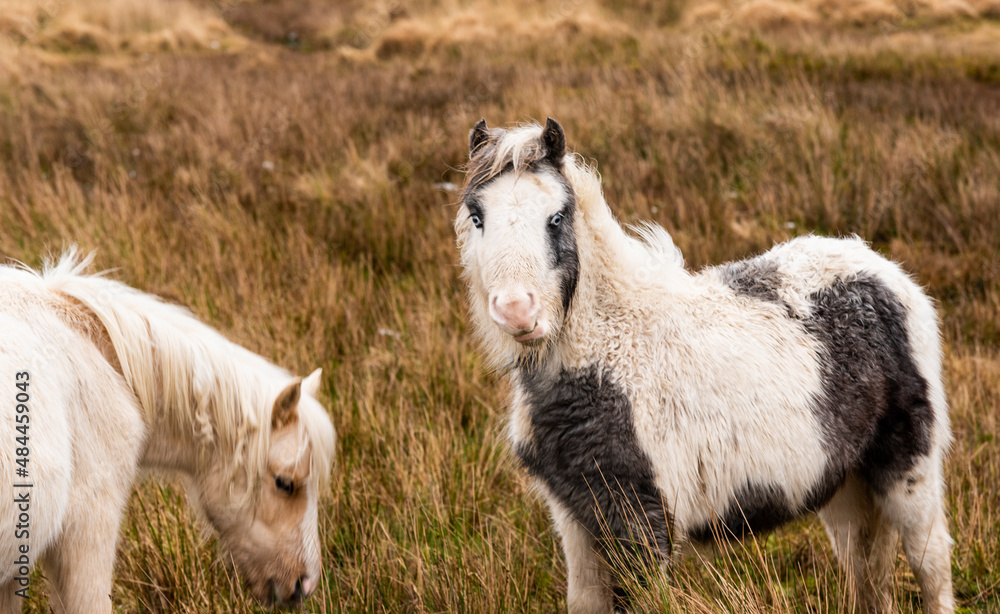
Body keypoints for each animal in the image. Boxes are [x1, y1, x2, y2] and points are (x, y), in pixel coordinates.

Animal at [455, 118, 954, 614]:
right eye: (477, 216)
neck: (606, 349)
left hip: (909, 471)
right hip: (845, 487)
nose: (517, 310)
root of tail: (883, 270)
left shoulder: (642, 522)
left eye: (556, 217)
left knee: (931, 566)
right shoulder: (574, 517)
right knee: (869, 576)